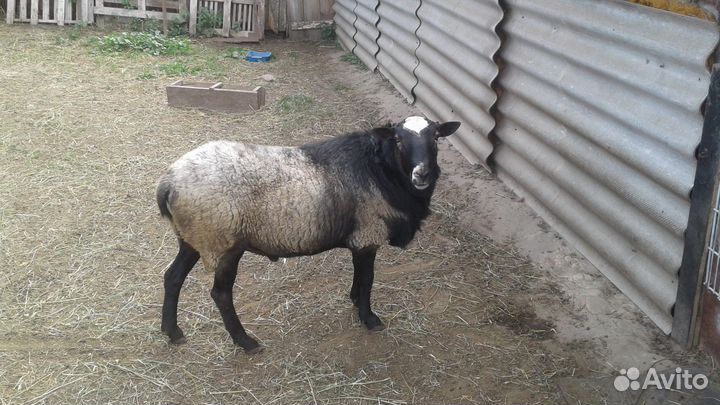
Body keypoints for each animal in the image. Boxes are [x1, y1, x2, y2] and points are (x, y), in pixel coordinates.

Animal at [156, 116, 461, 353]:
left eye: (436, 137)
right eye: (398, 140)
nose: (422, 173)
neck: (380, 170)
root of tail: (169, 182)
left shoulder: (360, 239)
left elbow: (359, 276)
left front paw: (353, 301)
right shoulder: (367, 234)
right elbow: (368, 280)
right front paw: (369, 318)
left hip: (193, 238)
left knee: (172, 277)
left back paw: (172, 332)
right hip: (223, 243)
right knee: (220, 294)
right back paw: (246, 342)